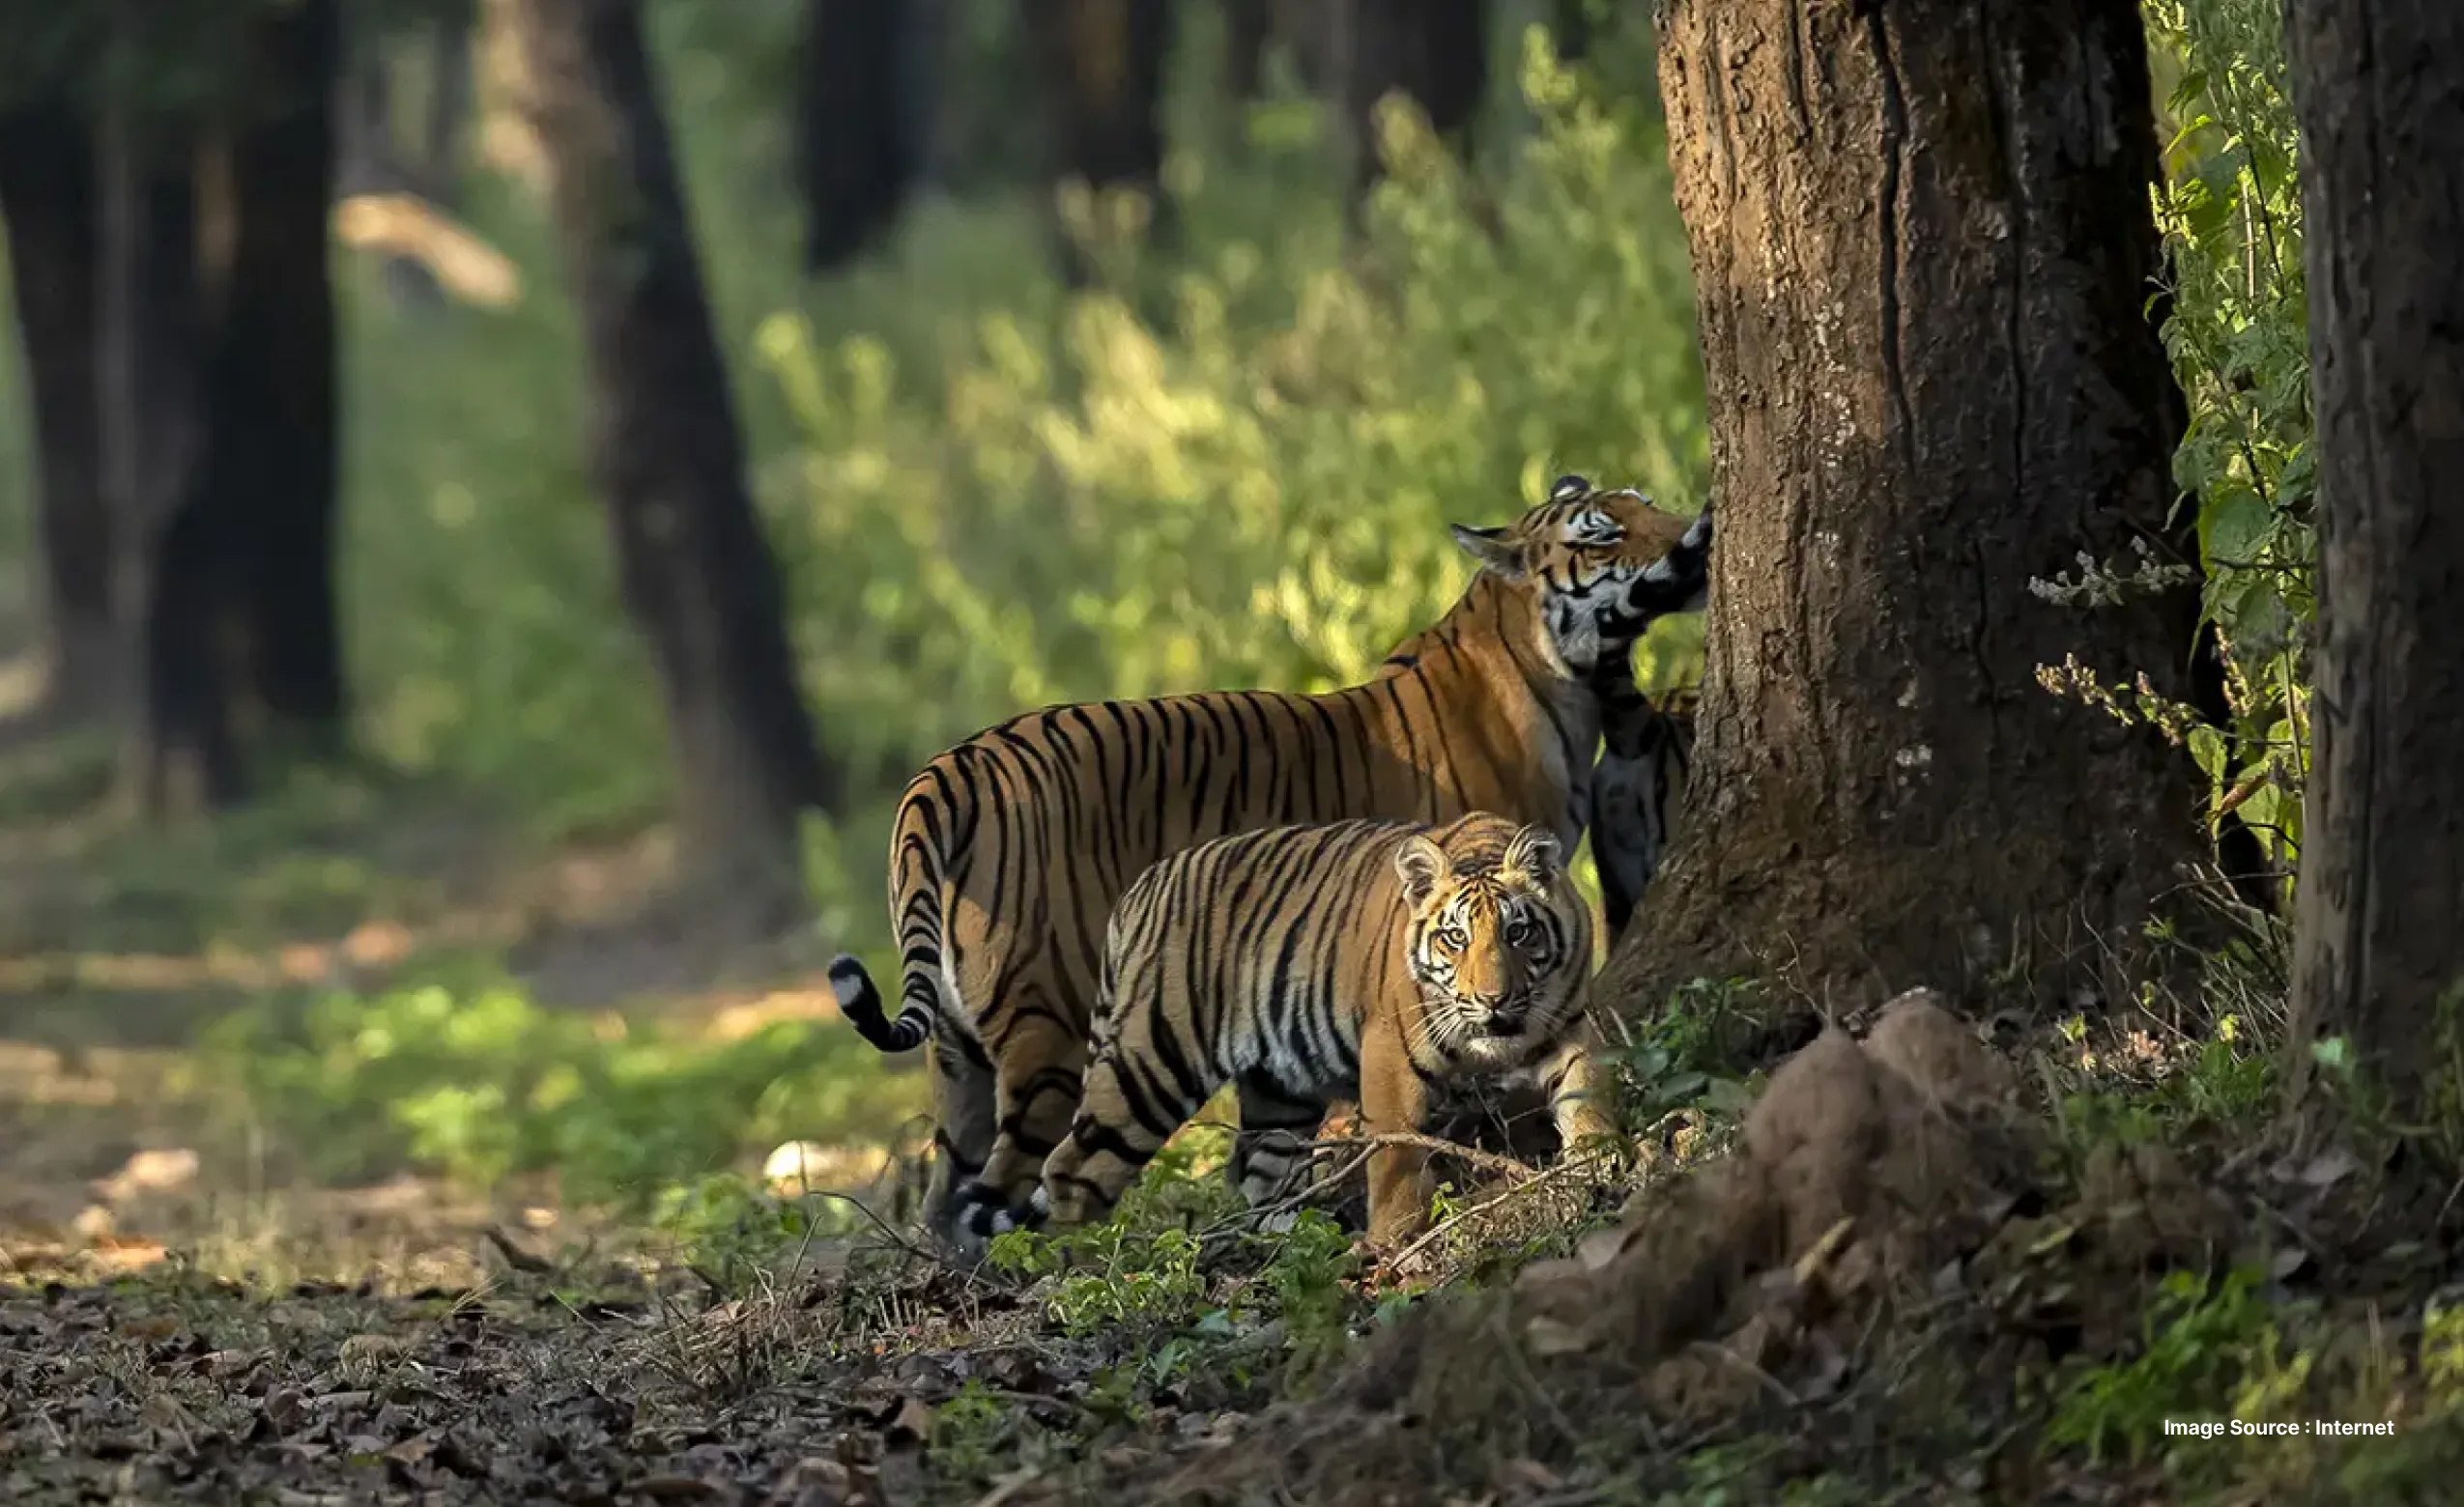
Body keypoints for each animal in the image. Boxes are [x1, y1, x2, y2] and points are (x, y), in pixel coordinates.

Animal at [1033, 811, 1618, 1247]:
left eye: (1518, 932)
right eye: (1455, 937)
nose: (1491, 999)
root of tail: (1141, 886)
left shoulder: (1569, 1027)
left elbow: (1587, 1096)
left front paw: (1604, 1162)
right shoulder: (1390, 1054)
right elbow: (1395, 1154)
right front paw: (1395, 1240)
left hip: (1278, 1093)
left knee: (1261, 1169)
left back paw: (1292, 1236)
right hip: (1150, 1066)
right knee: (1070, 1169)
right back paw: (1075, 1266)